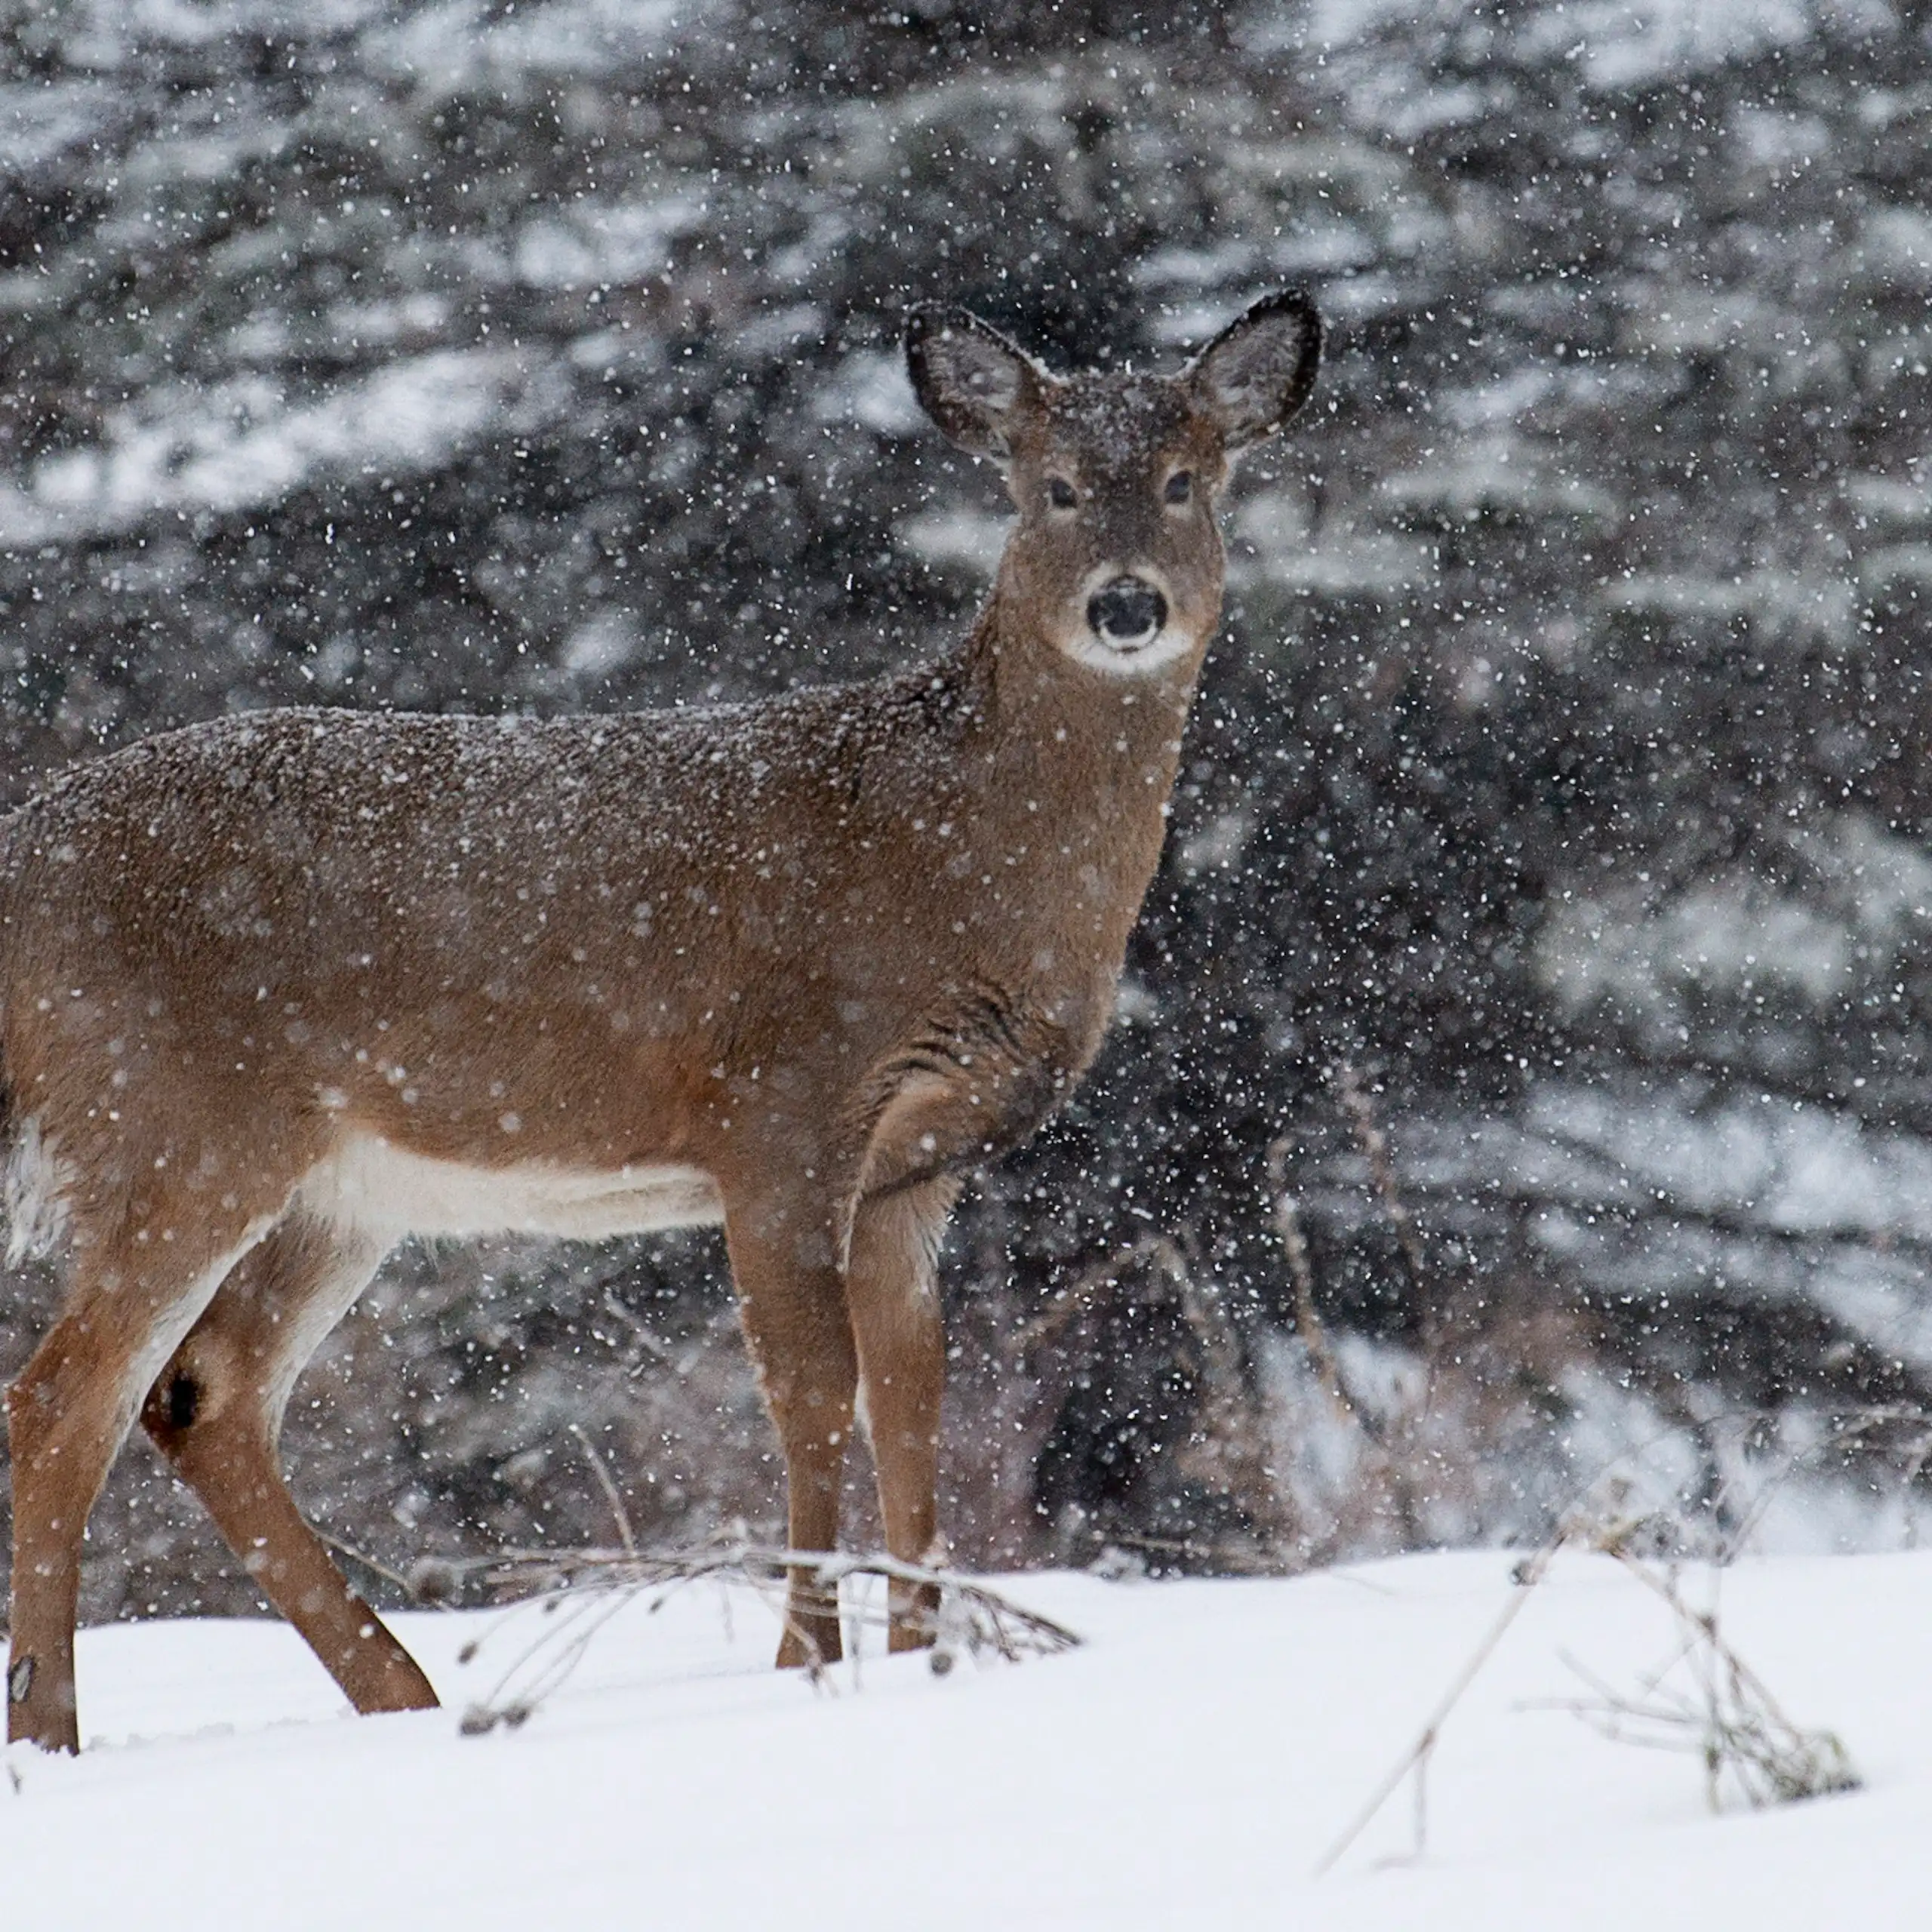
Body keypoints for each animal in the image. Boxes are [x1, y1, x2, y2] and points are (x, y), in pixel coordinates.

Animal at [0, 289, 1321, 1752]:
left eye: (1187, 479)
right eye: (1054, 488)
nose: (1126, 602)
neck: (956, 857)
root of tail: (19, 857)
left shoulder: (915, 1164)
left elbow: (916, 1401)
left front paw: (928, 1657)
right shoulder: (782, 1102)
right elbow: (811, 1391)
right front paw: (809, 1663)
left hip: (340, 1187)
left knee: (203, 1398)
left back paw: (404, 1700)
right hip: (171, 1121)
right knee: (60, 1405)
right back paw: (51, 1734)